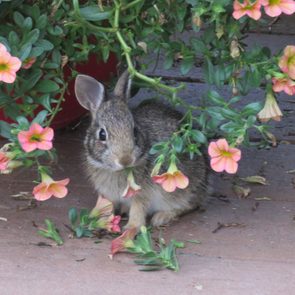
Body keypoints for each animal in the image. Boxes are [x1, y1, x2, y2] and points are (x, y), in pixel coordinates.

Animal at [74, 71, 208, 231]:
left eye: (135, 131)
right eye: (102, 134)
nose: (125, 160)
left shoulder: (142, 193)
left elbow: (138, 209)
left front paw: (131, 228)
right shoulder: (108, 194)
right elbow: (108, 208)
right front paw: (101, 222)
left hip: (182, 188)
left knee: (190, 204)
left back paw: (161, 217)